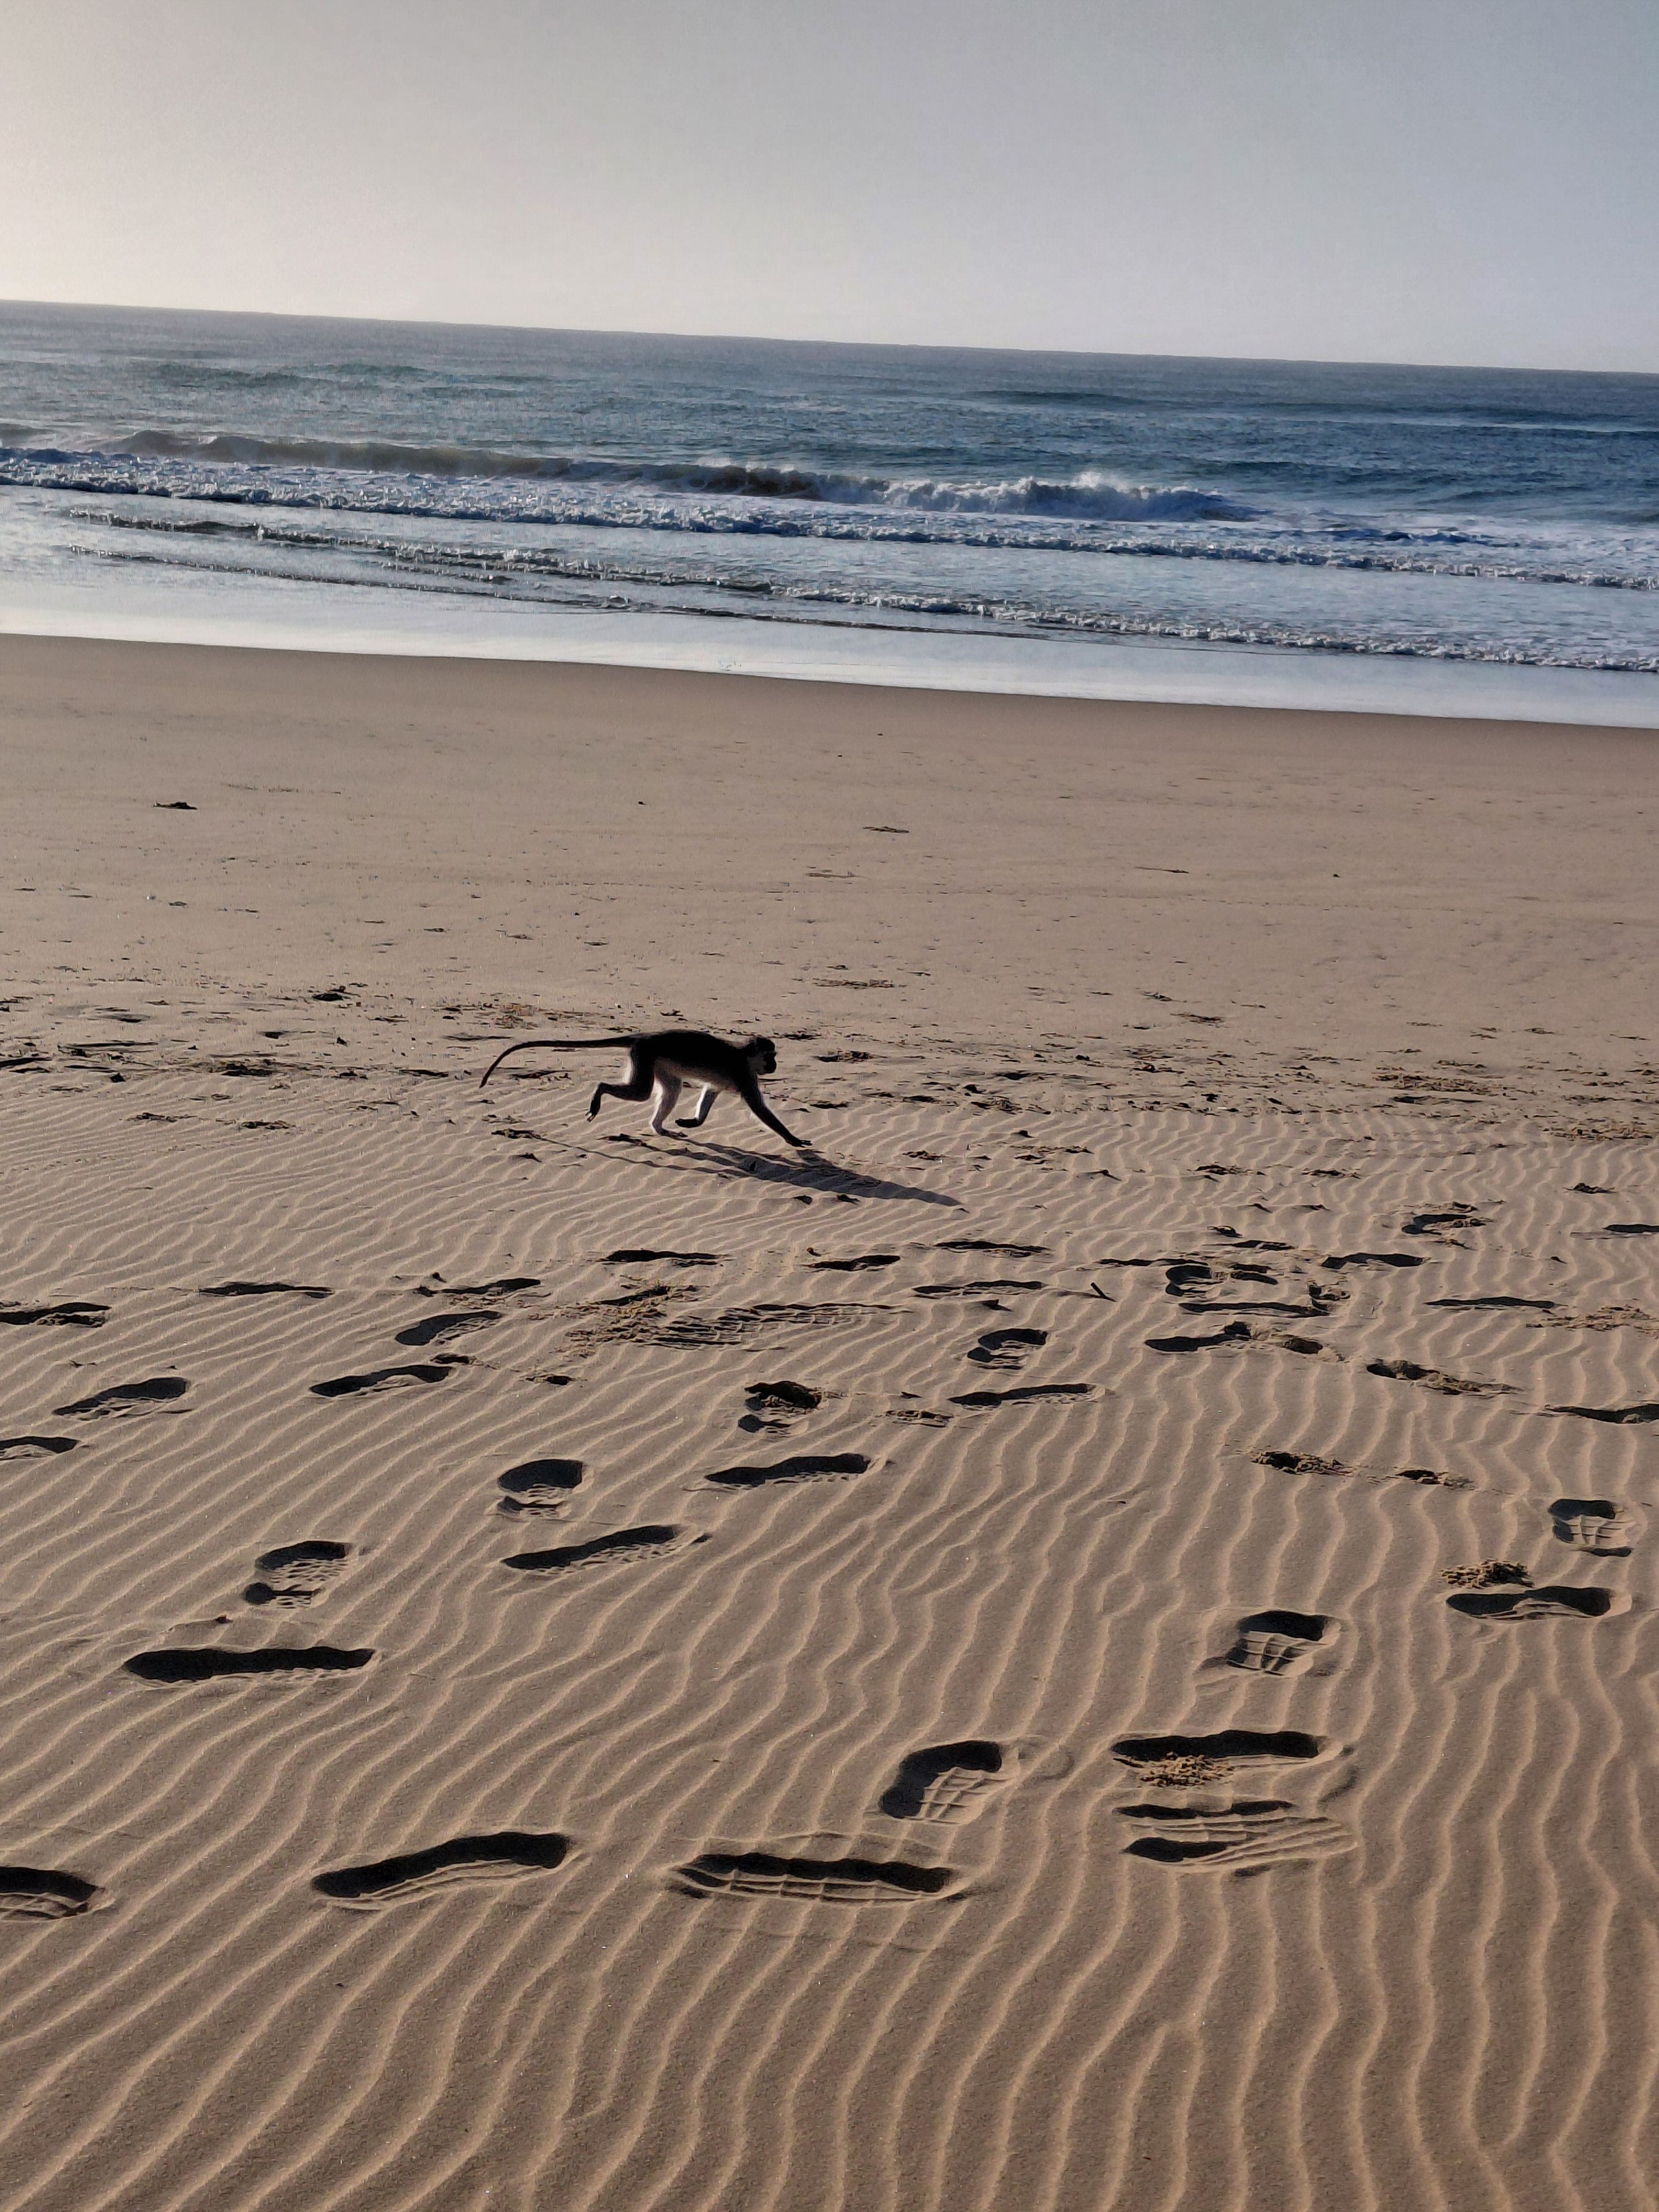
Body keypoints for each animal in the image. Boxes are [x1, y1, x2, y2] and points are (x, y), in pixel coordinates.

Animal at [478, 1029, 809, 1147]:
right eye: (771, 1056)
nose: (775, 1066)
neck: (744, 1056)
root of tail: (643, 1036)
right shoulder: (745, 1077)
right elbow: (760, 1109)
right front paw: (793, 1139)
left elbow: (709, 1094)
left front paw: (693, 1122)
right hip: (645, 1057)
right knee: (640, 1092)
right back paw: (599, 1093)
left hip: (654, 1062)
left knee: (671, 1089)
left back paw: (659, 1127)